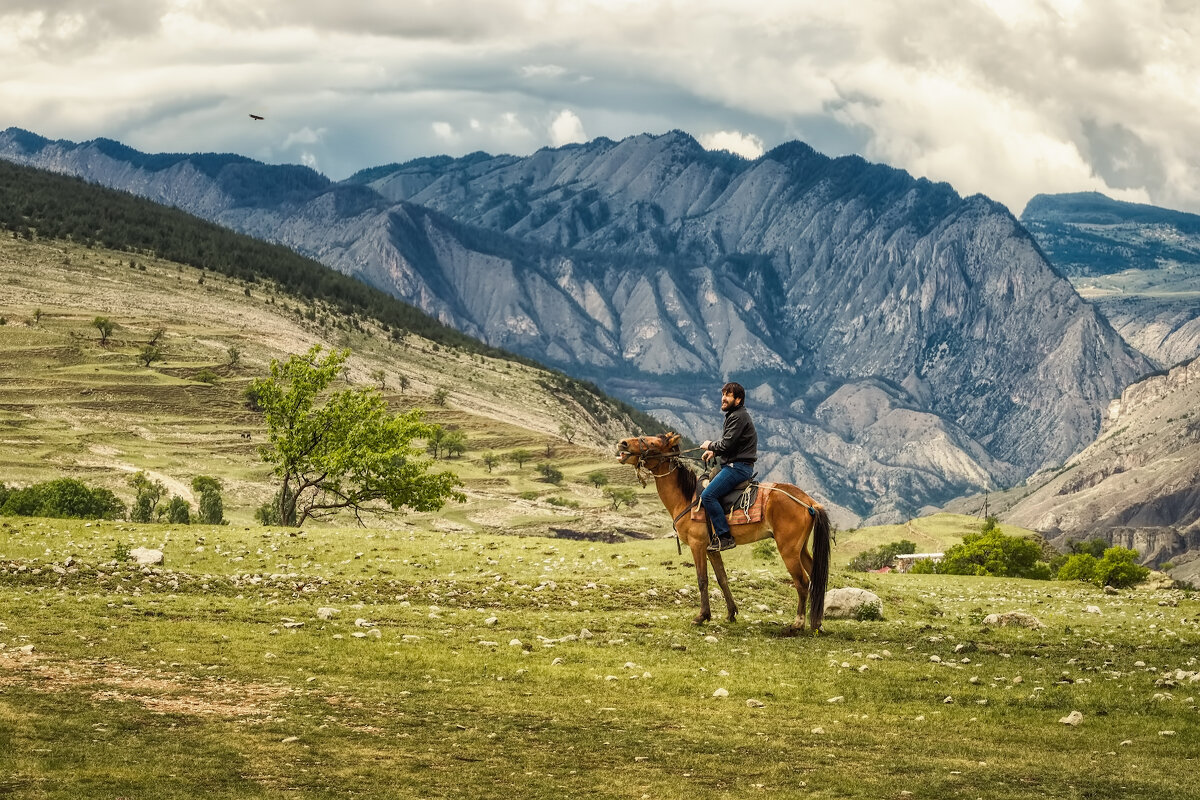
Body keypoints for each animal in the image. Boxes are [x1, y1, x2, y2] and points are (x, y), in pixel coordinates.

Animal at [614, 434, 830, 633]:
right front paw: (731, 613)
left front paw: (701, 616)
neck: (686, 498)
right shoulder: (712, 548)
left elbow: (702, 580)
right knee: (816, 578)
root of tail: (809, 502)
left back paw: (798, 623)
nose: (622, 443)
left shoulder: (697, 545)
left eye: (650, 442)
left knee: (802, 582)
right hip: (800, 549)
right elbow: (722, 578)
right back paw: (817, 623)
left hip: (788, 550)